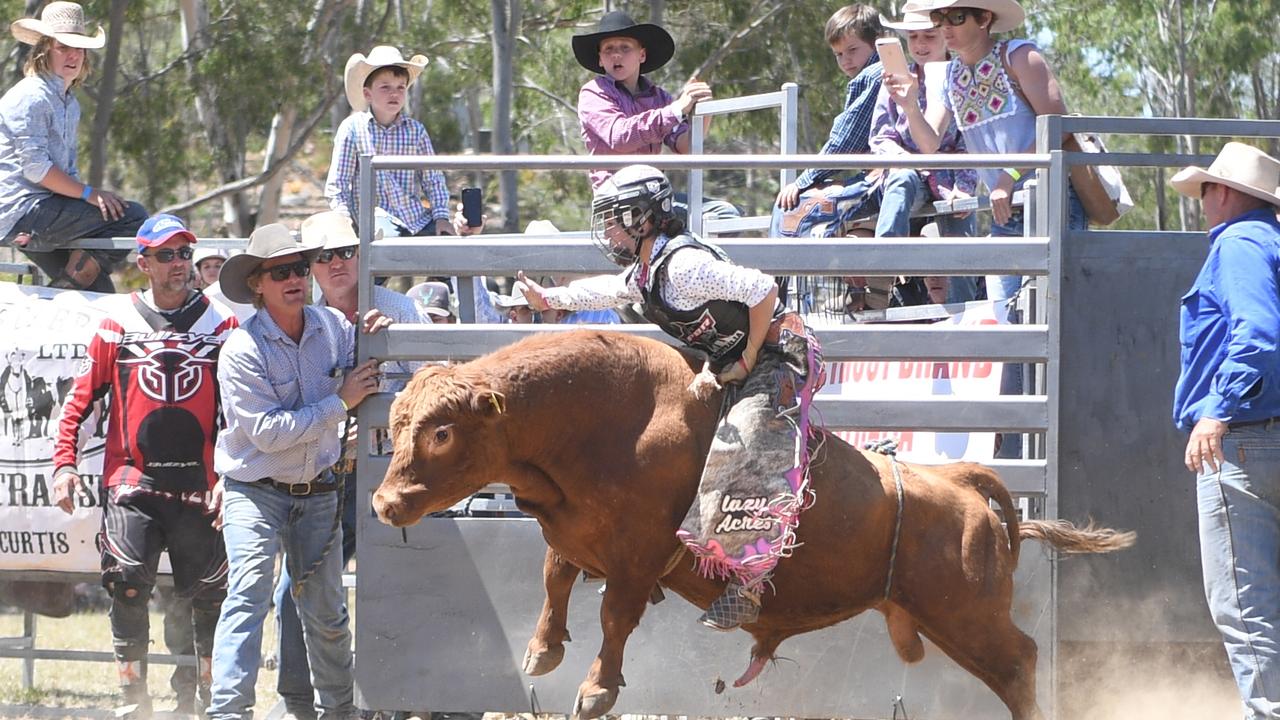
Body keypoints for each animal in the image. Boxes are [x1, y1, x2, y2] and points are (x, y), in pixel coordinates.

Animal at [373, 330, 1136, 717]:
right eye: (396, 425)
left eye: (441, 432)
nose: (383, 504)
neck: (603, 415)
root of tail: (961, 483)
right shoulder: (575, 534)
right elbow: (554, 576)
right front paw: (541, 650)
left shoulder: (639, 553)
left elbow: (616, 616)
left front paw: (595, 688)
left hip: (967, 613)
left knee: (1020, 663)